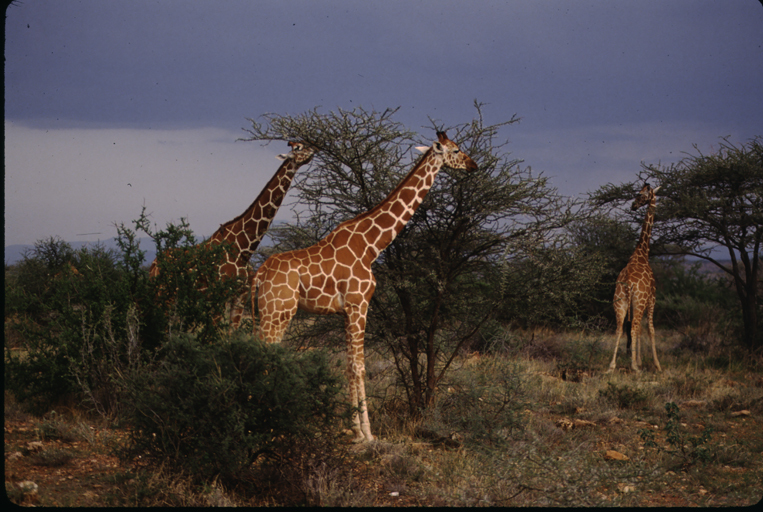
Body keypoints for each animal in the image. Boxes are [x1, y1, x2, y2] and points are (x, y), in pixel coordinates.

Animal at [149, 141, 316, 324]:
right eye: (298, 148)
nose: (313, 150)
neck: (244, 247)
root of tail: (153, 265)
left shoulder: (241, 295)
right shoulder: (219, 294)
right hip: (163, 294)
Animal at [251, 132, 478, 440]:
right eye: (455, 150)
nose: (473, 165)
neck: (372, 245)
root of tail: (259, 274)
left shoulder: (346, 310)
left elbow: (349, 365)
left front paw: (355, 430)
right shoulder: (360, 304)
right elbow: (360, 366)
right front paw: (368, 434)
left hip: (267, 312)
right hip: (279, 312)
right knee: (263, 355)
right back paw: (270, 426)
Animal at [608, 183, 664, 372]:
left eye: (641, 194)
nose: (633, 205)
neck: (641, 254)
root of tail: (628, 284)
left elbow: (638, 329)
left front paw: (639, 360)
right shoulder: (652, 297)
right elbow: (651, 329)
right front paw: (656, 364)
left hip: (620, 301)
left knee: (619, 328)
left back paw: (612, 365)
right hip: (638, 302)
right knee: (633, 327)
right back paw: (634, 367)